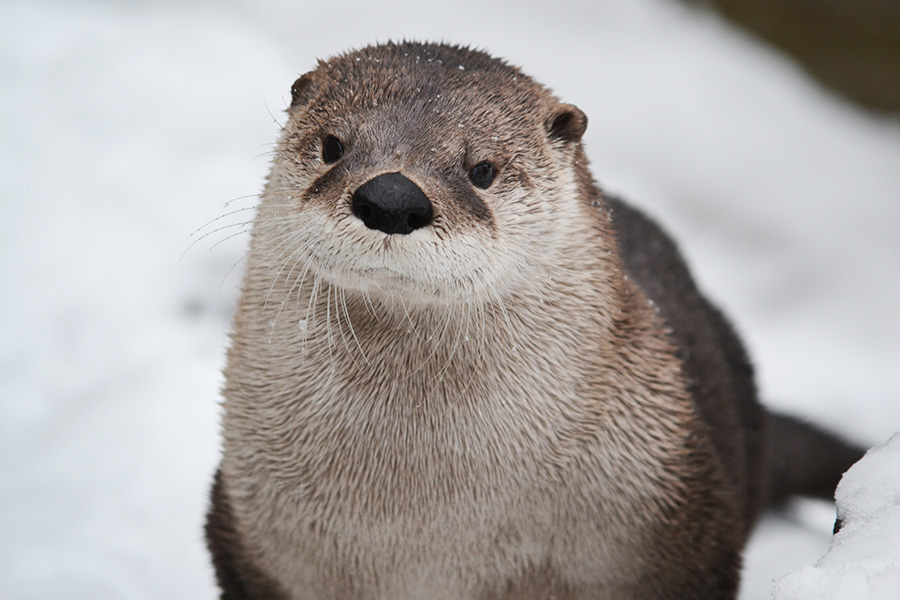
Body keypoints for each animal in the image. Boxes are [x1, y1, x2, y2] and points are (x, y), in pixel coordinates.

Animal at [204, 42, 864, 600]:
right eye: (333, 146)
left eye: (483, 169)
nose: (391, 198)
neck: (424, 528)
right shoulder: (247, 535)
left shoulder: (678, 514)